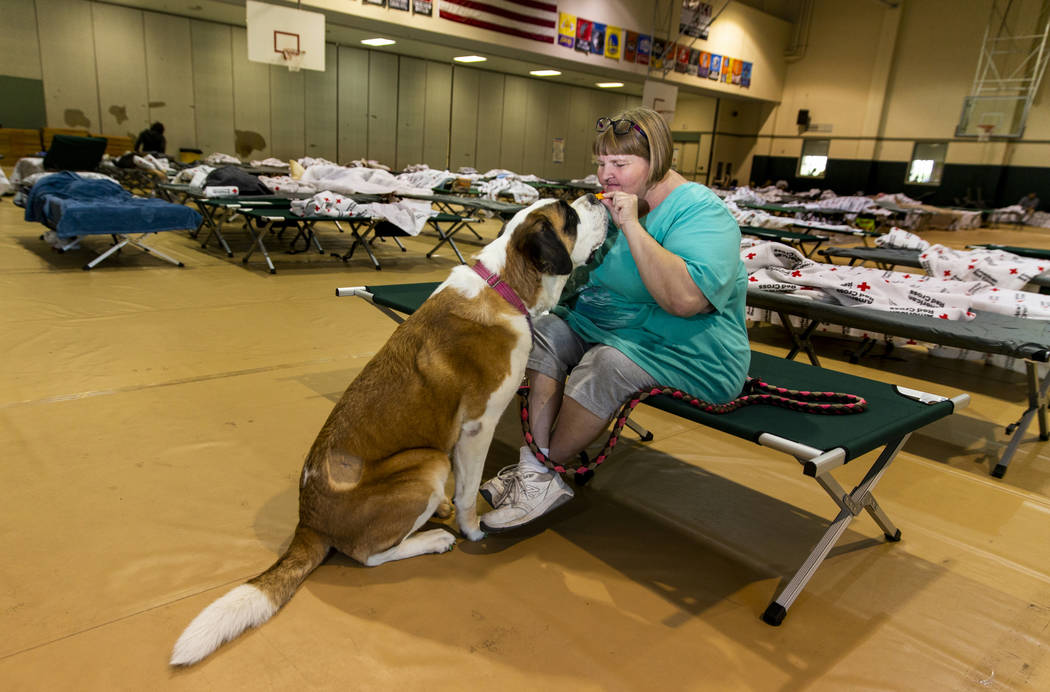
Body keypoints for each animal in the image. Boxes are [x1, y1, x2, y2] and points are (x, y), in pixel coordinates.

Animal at [172, 195, 609, 667]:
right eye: (570, 216)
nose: (597, 196)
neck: (504, 285)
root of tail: (308, 522)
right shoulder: (478, 426)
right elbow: (468, 494)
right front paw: (474, 530)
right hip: (427, 464)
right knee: (371, 556)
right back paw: (435, 538)